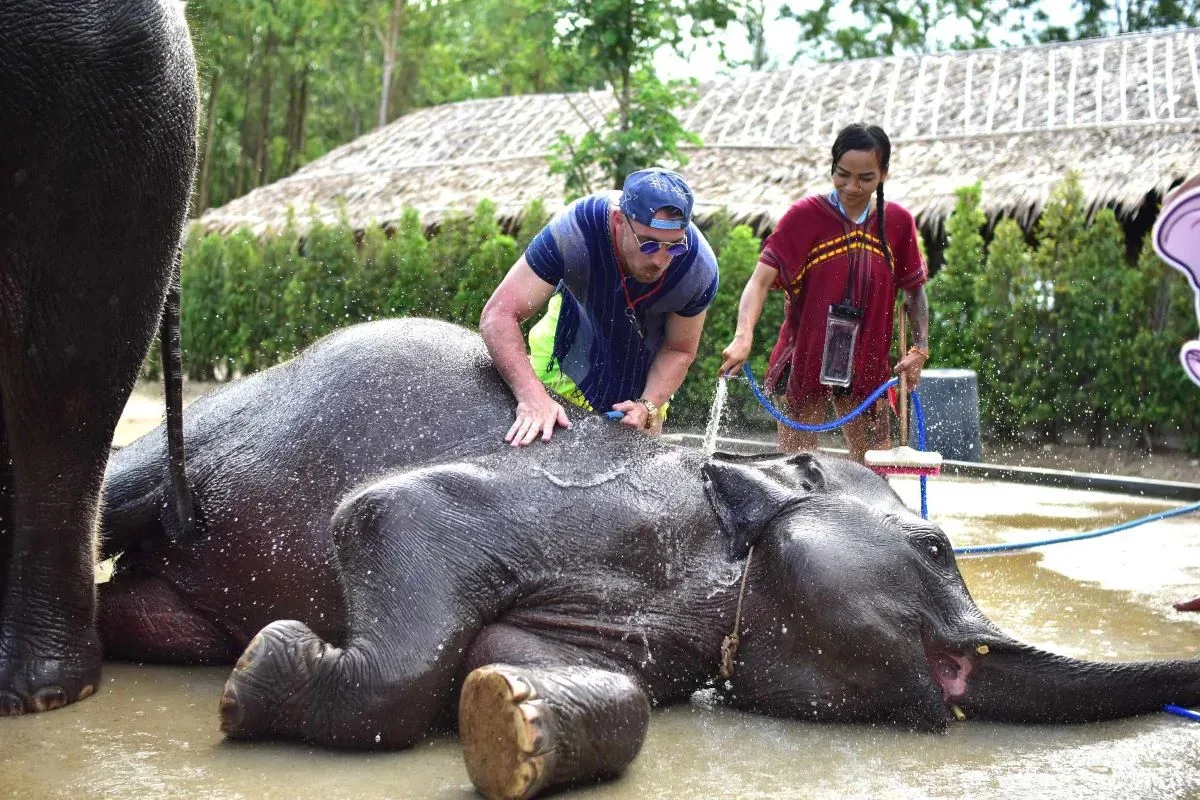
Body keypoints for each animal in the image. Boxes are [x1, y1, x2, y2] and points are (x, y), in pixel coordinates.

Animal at [98, 318, 1200, 800]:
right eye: (933, 546)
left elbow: (529, 665)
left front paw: (512, 721)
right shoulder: (581, 502)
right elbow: (388, 513)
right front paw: (260, 674)